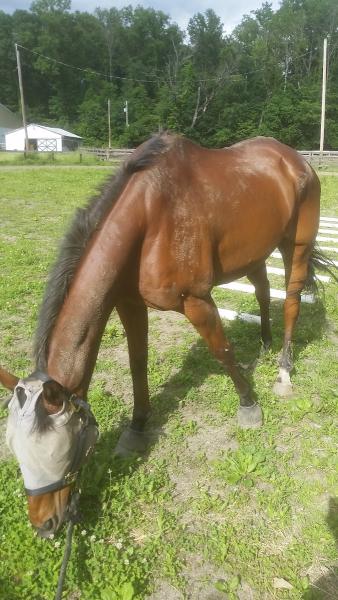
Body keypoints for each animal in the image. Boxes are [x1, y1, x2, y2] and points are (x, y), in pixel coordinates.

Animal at [0, 134, 328, 536]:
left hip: (295, 245)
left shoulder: (196, 301)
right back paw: (265, 344)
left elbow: (222, 350)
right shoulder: (127, 302)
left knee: (291, 302)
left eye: (57, 449)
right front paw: (138, 426)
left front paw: (249, 405)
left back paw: (283, 370)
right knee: (264, 291)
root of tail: (295, 159)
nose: (44, 525)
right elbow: (137, 362)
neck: (149, 217)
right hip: (255, 252)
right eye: (14, 447)